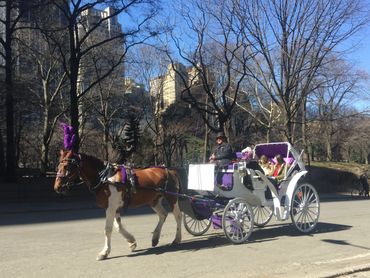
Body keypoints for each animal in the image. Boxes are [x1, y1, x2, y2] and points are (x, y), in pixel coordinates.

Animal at [53, 150, 182, 260]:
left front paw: (104, 252)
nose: (57, 187)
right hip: (153, 200)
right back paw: (155, 237)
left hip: (171, 198)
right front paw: (131, 241)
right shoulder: (114, 207)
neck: (105, 178)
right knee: (163, 215)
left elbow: (108, 228)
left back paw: (177, 238)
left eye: (67, 166)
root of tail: (171, 170)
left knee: (178, 216)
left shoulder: (111, 207)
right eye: (58, 166)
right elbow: (118, 226)